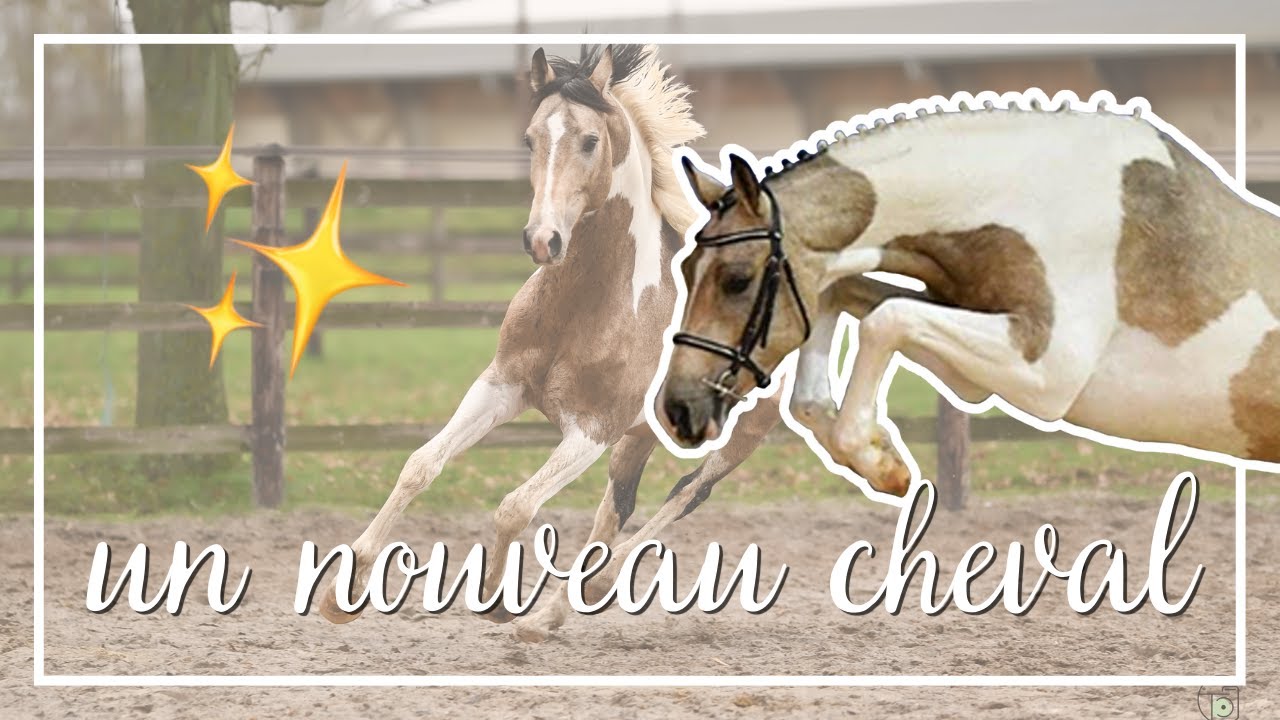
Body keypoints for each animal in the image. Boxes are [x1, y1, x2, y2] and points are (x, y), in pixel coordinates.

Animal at [655, 90, 1280, 503]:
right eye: (686, 269)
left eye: (737, 280)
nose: (678, 411)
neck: (1025, 198)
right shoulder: (973, 368)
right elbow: (839, 299)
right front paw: (879, 458)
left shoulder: (1047, 370)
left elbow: (886, 318)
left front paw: (880, 463)